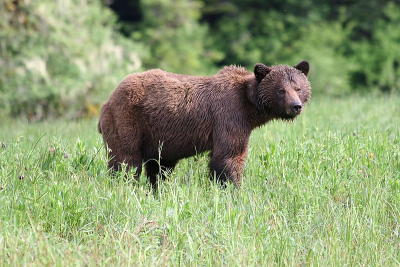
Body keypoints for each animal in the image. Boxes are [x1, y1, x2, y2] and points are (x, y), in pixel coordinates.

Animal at [98, 62, 310, 188]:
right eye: (281, 90)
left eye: (298, 88)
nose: (295, 106)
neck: (250, 107)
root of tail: (109, 98)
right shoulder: (229, 117)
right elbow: (229, 156)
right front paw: (232, 188)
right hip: (127, 119)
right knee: (126, 160)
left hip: (156, 136)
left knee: (159, 167)